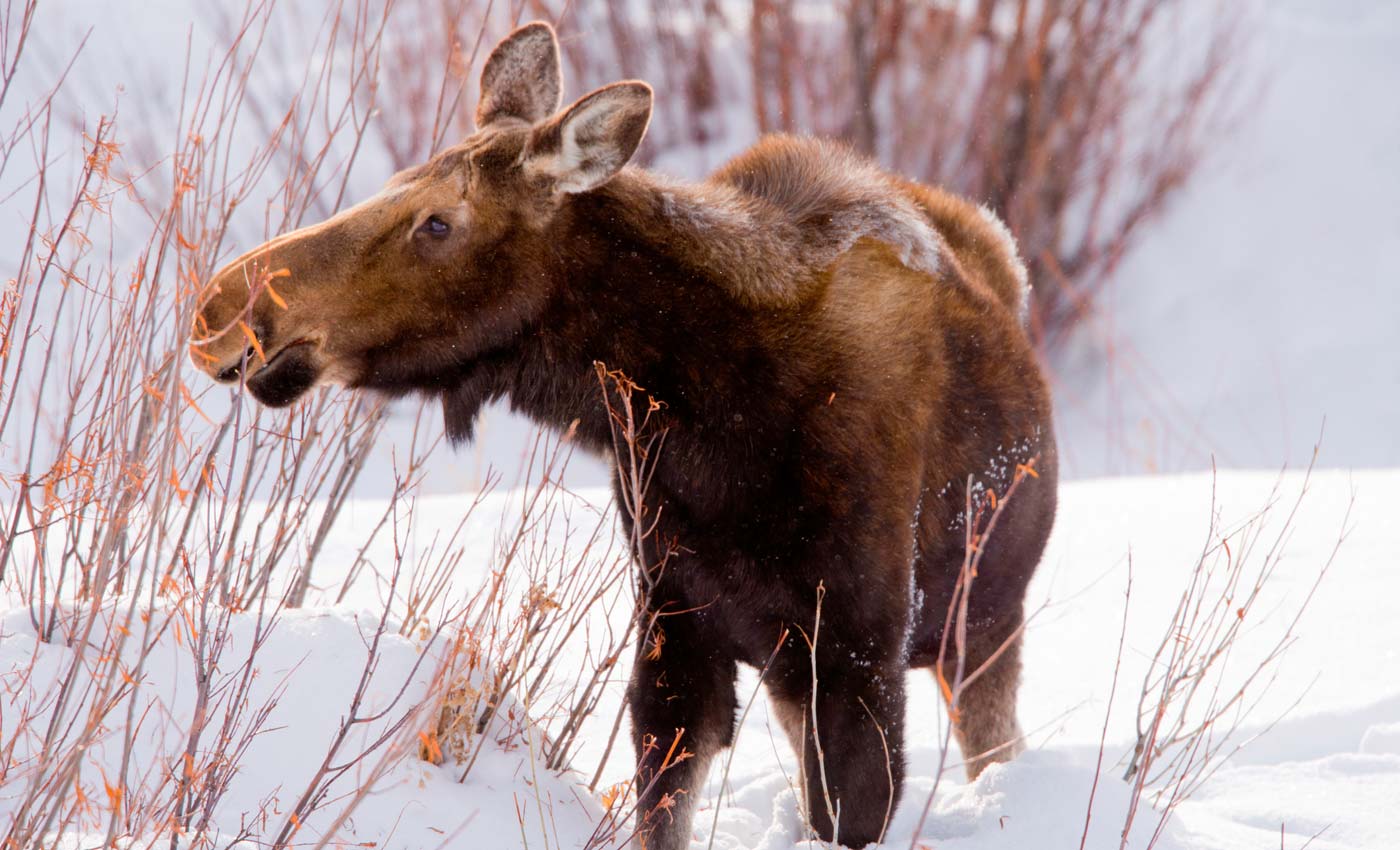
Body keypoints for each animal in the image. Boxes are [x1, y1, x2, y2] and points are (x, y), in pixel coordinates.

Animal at [191, 21, 1052, 850]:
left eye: (438, 222)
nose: (222, 309)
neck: (709, 423)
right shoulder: (680, 624)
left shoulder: (857, 651)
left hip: (980, 627)